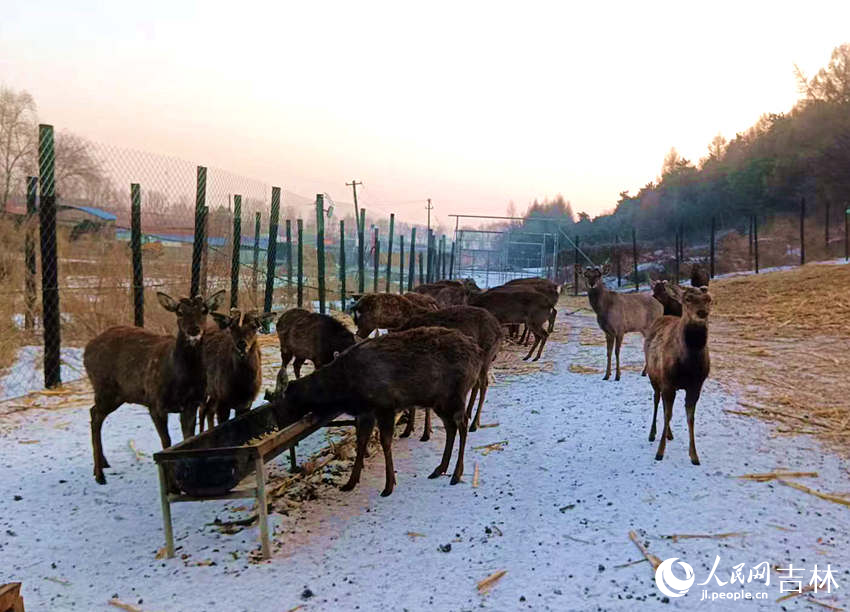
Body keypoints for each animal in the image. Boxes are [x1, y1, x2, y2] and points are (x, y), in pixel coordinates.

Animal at [84, 290, 224, 485]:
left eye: (204, 310)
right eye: (179, 312)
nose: (194, 330)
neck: (182, 380)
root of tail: (86, 350)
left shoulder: (192, 403)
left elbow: (188, 439)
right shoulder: (155, 403)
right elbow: (167, 442)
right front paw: (172, 481)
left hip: (118, 395)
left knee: (93, 412)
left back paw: (102, 464)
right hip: (105, 388)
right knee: (96, 415)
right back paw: (99, 474)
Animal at [281, 327, 483, 496]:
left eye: (289, 401)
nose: (281, 425)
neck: (346, 390)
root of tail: (477, 353)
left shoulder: (385, 406)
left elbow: (385, 442)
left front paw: (389, 485)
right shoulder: (366, 413)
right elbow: (361, 441)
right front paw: (350, 482)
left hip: (455, 396)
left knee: (463, 423)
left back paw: (456, 474)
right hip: (439, 402)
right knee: (450, 427)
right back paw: (440, 468)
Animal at [645, 286, 712, 465]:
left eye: (709, 299)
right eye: (687, 299)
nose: (702, 313)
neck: (689, 365)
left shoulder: (697, 385)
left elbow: (690, 417)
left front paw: (694, 455)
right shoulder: (668, 381)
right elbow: (668, 414)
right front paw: (659, 453)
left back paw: (668, 433)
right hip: (653, 376)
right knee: (656, 399)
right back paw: (652, 434)